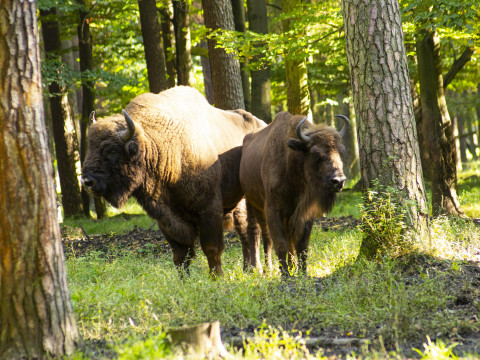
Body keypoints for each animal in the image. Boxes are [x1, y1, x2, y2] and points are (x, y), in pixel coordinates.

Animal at [79, 86, 266, 276]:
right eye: (90, 147)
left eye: (111, 151)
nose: (87, 181)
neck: (157, 146)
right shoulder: (166, 218)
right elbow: (180, 255)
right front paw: (184, 280)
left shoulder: (209, 210)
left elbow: (212, 248)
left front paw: (217, 277)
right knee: (244, 230)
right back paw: (248, 269)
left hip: (249, 199)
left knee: (251, 230)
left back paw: (254, 269)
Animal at [240, 111, 348, 274]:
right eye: (315, 154)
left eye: (341, 152)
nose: (338, 181)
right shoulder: (273, 211)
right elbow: (280, 244)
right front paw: (285, 275)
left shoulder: (305, 213)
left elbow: (302, 245)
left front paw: (302, 272)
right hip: (252, 203)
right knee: (260, 234)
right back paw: (261, 269)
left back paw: (290, 266)